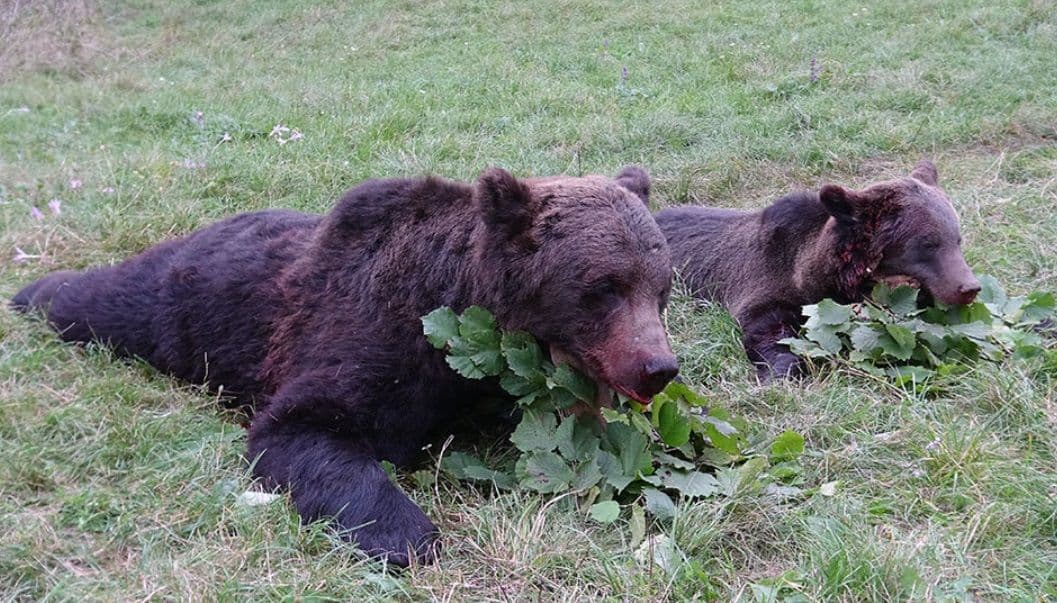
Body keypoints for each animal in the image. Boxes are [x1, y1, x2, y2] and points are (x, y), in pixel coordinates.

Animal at [11, 166, 679, 566]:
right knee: (101, 301)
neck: (455, 294)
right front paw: (405, 535)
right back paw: (32, 292)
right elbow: (309, 424)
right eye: (604, 287)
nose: (657, 366)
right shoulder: (371, 329)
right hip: (175, 309)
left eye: (661, 288)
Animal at [655, 160, 980, 380]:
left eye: (957, 239)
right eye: (928, 244)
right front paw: (781, 370)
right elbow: (769, 330)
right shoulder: (765, 282)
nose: (969, 287)